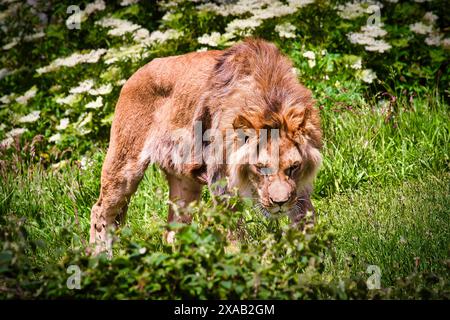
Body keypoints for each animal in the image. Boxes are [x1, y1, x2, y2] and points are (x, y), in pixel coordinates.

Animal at [89, 38, 322, 256]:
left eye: (294, 167)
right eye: (260, 167)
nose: (280, 202)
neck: (270, 102)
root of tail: (134, 74)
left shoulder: (299, 188)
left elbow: (306, 216)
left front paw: (308, 255)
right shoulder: (221, 182)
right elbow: (233, 232)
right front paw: (242, 261)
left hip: (184, 182)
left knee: (172, 230)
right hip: (125, 166)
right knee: (99, 210)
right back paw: (99, 257)